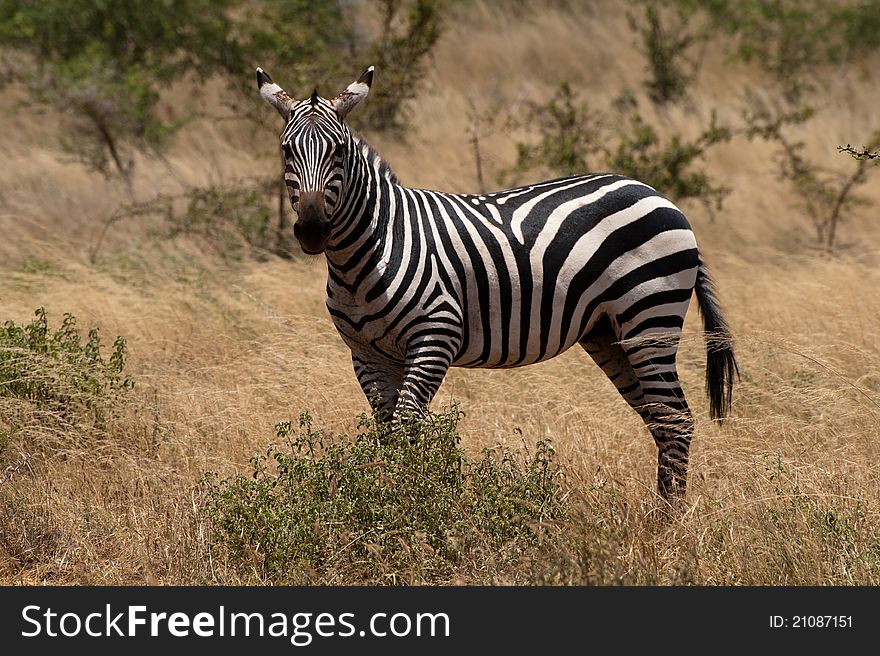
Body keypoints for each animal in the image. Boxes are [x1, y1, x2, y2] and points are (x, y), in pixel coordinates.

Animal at [254, 65, 736, 498]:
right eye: (286, 151)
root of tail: (657, 194)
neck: (368, 253)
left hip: (649, 316)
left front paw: (405, 505)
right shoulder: (366, 354)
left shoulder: (436, 336)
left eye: (338, 152)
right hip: (608, 332)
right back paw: (661, 515)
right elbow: (388, 435)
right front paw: (386, 499)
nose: (312, 230)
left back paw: (669, 524)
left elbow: (408, 429)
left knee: (676, 418)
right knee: (659, 417)